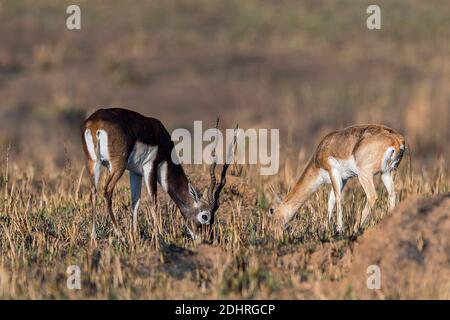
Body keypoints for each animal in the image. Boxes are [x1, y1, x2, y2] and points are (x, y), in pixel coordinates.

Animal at [82, 107, 234, 240]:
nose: (206, 238)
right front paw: (159, 235)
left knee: (93, 192)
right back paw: (121, 236)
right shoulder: (150, 166)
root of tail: (95, 123)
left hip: (93, 162)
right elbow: (153, 201)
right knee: (107, 191)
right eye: (205, 216)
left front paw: (135, 236)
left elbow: (135, 202)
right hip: (117, 166)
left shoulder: (135, 173)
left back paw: (94, 236)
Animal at [272, 125, 406, 235]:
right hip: (387, 173)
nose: (276, 235)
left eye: (273, 213)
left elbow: (337, 199)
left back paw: (355, 228)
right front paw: (326, 227)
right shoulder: (344, 179)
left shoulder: (333, 172)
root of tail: (396, 140)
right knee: (392, 195)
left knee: (372, 196)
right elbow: (330, 201)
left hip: (365, 174)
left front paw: (339, 229)